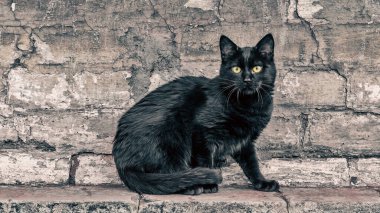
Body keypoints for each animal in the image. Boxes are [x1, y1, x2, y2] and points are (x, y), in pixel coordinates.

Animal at [113, 34, 280, 196]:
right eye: (236, 69)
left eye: (257, 68)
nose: (247, 79)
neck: (248, 106)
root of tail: (122, 164)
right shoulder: (203, 132)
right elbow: (204, 160)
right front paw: (209, 186)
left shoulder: (246, 140)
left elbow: (252, 164)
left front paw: (262, 182)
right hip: (171, 137)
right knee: (168, 173)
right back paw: (191, 187)